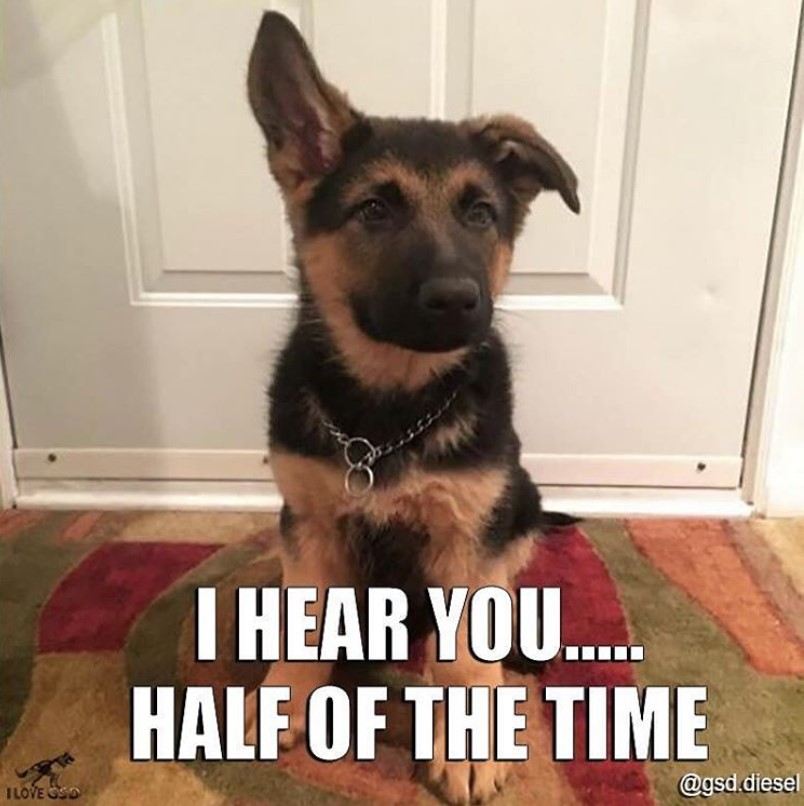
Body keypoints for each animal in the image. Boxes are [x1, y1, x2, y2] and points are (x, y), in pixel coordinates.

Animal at [243, 12, 576, 806]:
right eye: (374, 210)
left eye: (481, 214)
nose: (458, 300)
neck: (388, 418)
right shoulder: (310, 525)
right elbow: (306, 621)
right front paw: (284, 699)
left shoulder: (466, 536)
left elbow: (464, 657)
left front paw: (469, 742)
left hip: (517, 499)